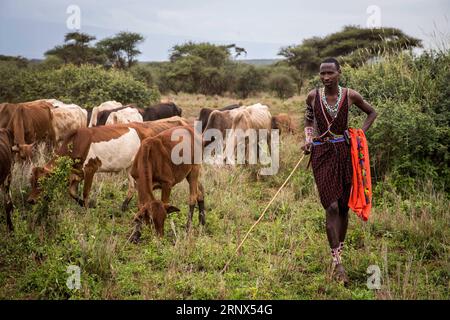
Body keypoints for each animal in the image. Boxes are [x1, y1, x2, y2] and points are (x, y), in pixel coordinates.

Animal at [28, 117, 188, 210]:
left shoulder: (90, 169)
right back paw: (123, 206)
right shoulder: (77, 173)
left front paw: (86, 209)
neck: (76, 142)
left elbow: (85, 192)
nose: (30, 200)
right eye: (31, 182)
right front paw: (82, 203)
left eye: (40, 182)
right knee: (132, 186)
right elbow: (72, 192)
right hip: (130, 166)